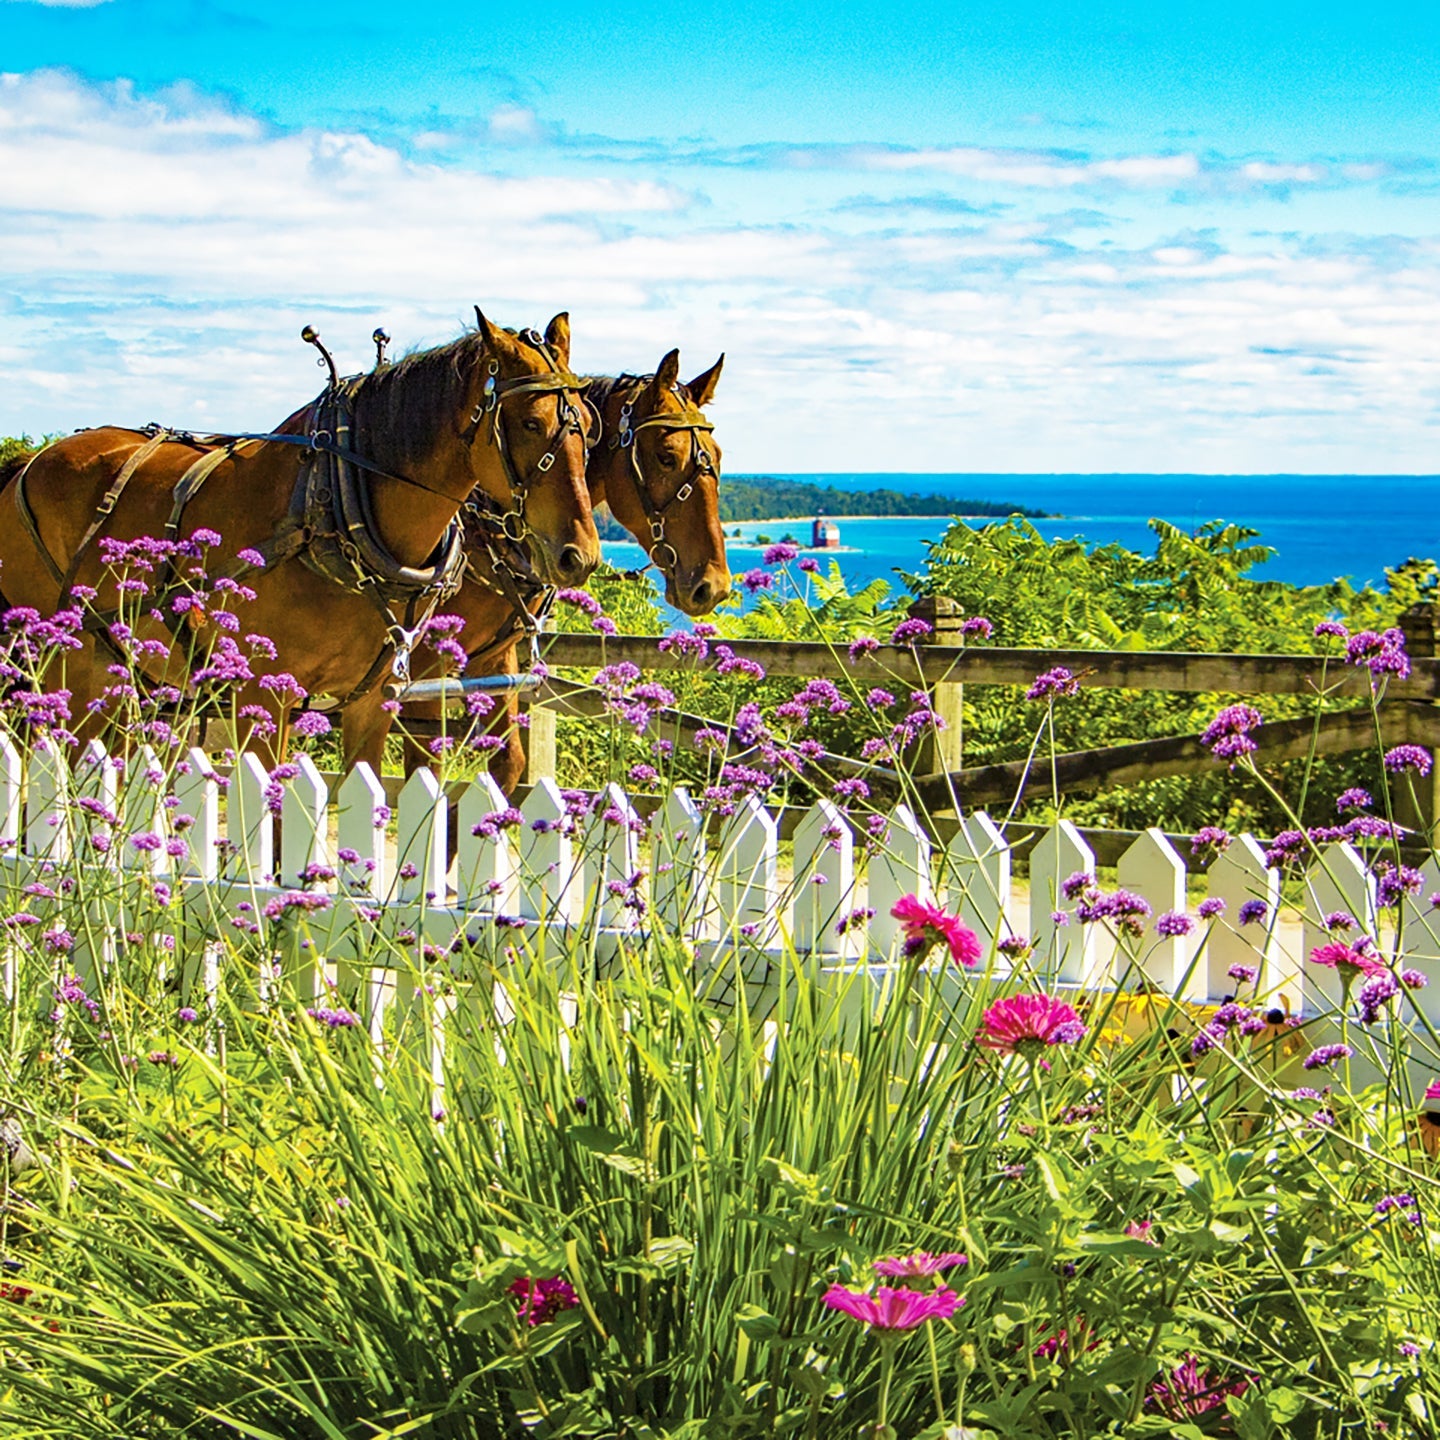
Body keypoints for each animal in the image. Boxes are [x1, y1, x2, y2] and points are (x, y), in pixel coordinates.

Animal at [0, 311, 596, 760]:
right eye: (530, 423)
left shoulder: (372, 701)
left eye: (587, 427)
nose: (581, 556)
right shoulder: (265, 695)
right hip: (62, 659)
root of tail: (29, 462)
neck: (331, 505)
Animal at [339, 345, 731, 789]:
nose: (713, 585)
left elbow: (508, 761)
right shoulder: (420, 674)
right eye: (667, 457)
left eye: (719, 457)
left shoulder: (493, 662)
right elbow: (426, 768)